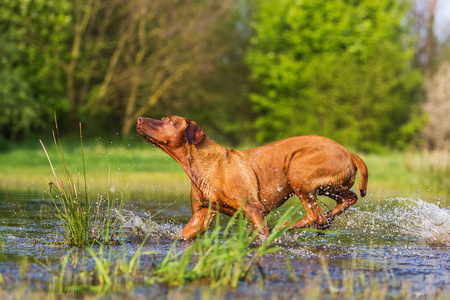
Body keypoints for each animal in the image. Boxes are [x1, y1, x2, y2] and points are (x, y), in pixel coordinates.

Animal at [137, 116, 370, 240]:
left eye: (168, 120)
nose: (139, 119)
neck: (201, 166)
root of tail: (350, 152)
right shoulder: (200, 216)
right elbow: (184, 234)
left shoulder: (253, 209)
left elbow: (261, 234)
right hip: (327, 185)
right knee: (346, 200)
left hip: (296, 170)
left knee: (315, 215)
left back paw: (285, 227)